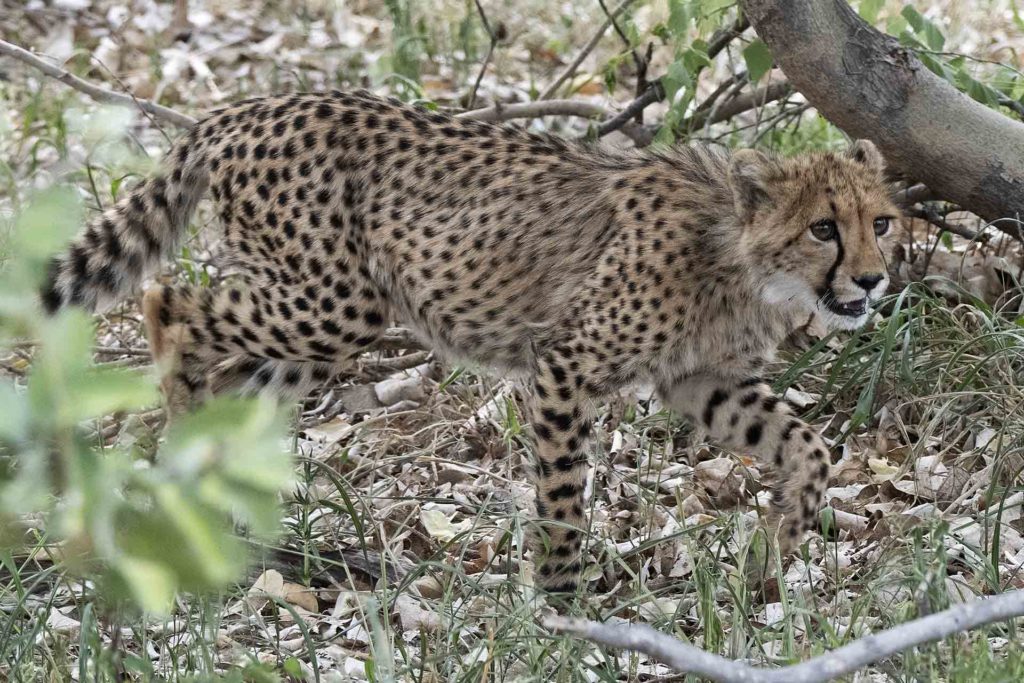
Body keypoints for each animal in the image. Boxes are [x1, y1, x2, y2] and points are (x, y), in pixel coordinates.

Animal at [40, 89, 899, 593]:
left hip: (311, 329)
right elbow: (563, 494)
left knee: (241, 387)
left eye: (882, 222)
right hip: (333, 302)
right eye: (824, 228)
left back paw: (228, 502)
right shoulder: (564, 365)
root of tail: (241, 107)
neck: (737, 254)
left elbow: (804, 443)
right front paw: (562, 598)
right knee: (169, 302)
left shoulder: (703, 379)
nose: (874, 280)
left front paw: (783, 539)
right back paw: (184, 429)